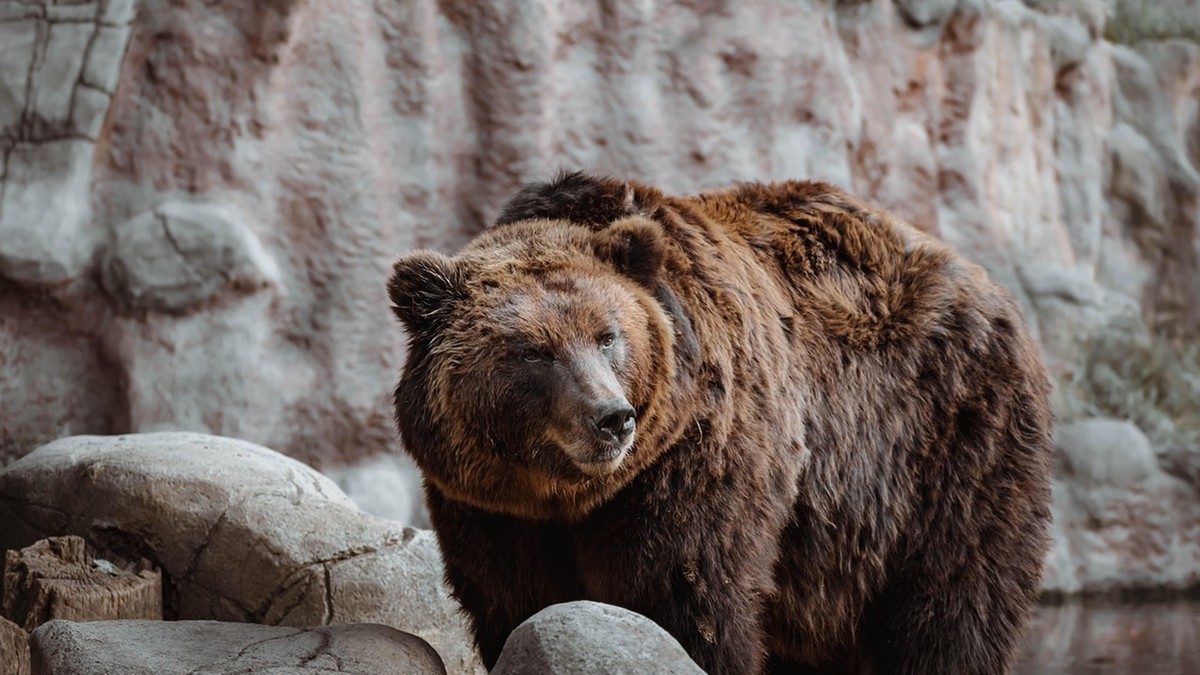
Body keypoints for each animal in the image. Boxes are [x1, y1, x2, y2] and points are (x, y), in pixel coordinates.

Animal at [388, 171, 1056, 672]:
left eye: (608, 336)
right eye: (533, 351)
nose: (612, 418)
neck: (567, 496)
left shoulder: (695, 459)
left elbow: (685, 596)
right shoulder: (490, 509)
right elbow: (514, 603)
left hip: (948, 447)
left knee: (953, 604)